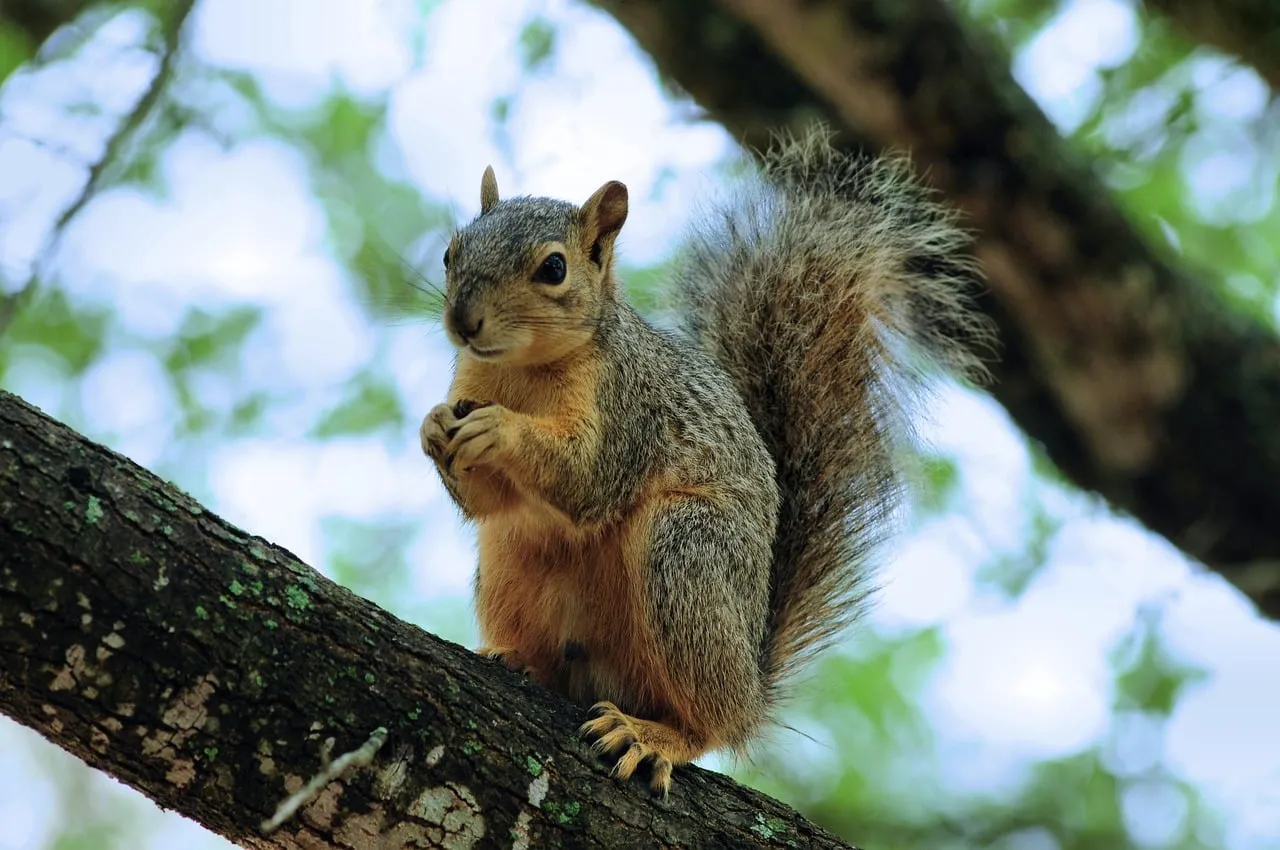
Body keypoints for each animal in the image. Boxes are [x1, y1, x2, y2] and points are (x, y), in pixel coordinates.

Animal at [419, 129, 988, 797]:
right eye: (451, 252)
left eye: (553, 268)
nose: (463, 321)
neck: (521, 370)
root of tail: (750, 683)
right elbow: (486, 501)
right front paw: (434, 427)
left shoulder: (628, 410)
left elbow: (588, 479)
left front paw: (499, 428)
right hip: (509, 559)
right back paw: (514, 659)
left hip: (688, 553)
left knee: (711, 724)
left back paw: (656, 735)